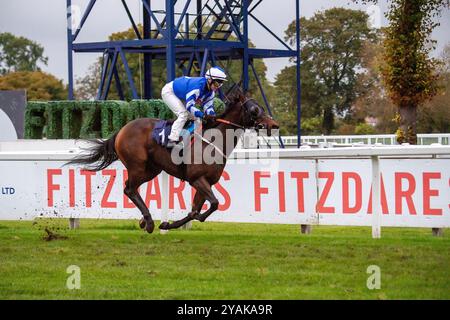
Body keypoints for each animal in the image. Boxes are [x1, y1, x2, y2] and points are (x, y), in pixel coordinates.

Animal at [67, 89, 278, 234]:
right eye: (254, 109)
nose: (274, 124)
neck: (212, 140)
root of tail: (122, 130)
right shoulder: (197, 179)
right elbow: (214, 204)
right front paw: (171, 222)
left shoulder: (206, 182)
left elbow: (198, 210)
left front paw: (169, 223)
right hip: (138, 166)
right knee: (129, 189)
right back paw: (148, 222)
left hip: (151, 170)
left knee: (132, 188)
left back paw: (144, 220)